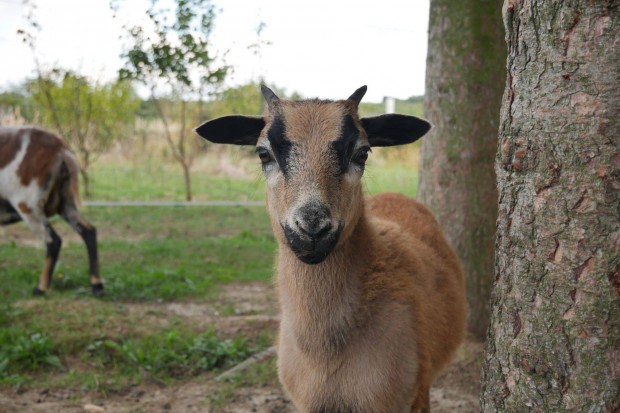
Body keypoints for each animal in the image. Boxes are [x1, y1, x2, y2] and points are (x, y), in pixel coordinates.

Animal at [0, 126, 103, 296]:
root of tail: (60, 149)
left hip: (28, 205)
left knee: (53, 240)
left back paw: (41, 288)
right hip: (66, 203)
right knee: (88, 231)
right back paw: (97, 285)